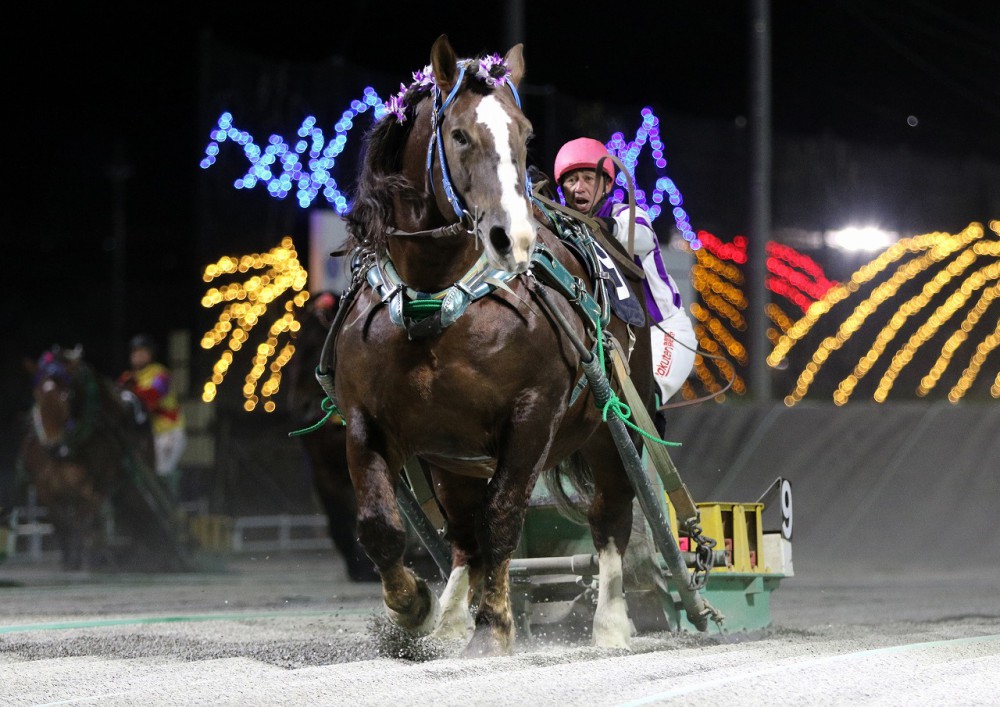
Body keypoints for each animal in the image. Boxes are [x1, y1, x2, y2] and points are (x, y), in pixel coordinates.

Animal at [17, 346, 192, 572]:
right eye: (37, 395)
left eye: (67, 394)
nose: (54, 446)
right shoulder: (45, 489)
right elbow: (61, 522)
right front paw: (69, 558)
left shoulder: (95, 489)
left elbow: (82, 522)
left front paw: (81, 558)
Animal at [324, 37, 660, 660]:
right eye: (458, 135)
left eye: (525, 135)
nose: (514, 237)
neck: (435, 299)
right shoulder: (365, 418)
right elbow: (379, 525)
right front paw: (413, 607)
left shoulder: (533, 413)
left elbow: (502, 517)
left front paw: (495, 626)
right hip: (452, 457)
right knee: (462, 534)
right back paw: (451, 616)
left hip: (611, 425)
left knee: (610, 515)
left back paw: (609, 623)